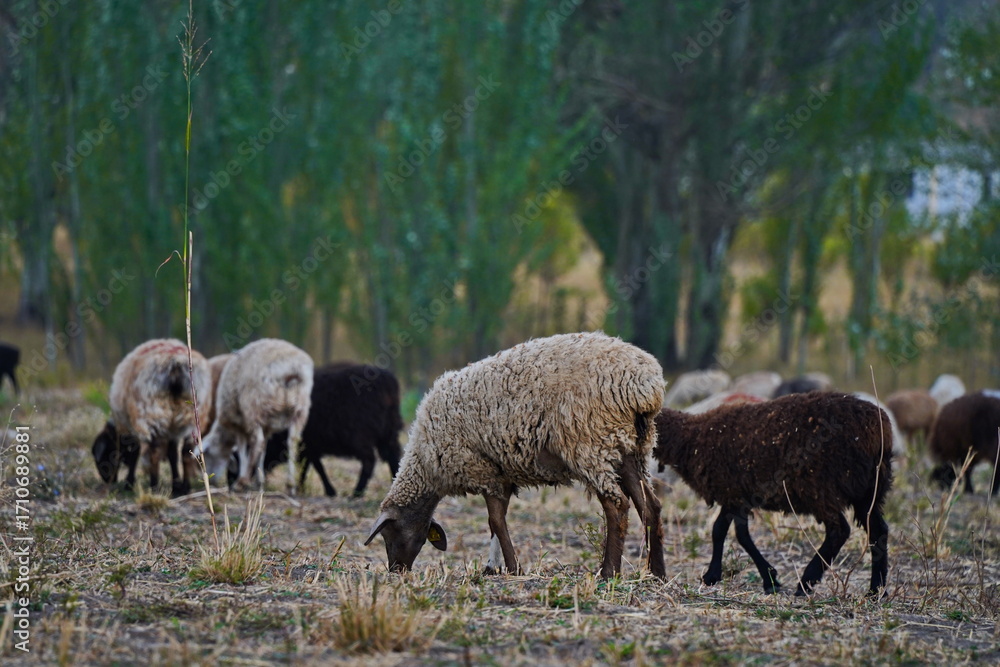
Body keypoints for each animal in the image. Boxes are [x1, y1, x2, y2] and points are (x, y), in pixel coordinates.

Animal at [108, 339, 213, 496]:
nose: (111, 479)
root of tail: (176, 363)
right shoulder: (172, 430)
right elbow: (172, 455)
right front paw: (176, 484)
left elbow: (134, 453)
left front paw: (129, 482)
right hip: (193, 415)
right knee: (186, 453)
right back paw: (185, 487)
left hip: (151, 411)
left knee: (154, 453)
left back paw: (154, 487)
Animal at [199, 338, 313, 492]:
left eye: (208, 455)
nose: (210, 481)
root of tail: (292, 369)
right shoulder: (266, 426)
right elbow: (263, 449)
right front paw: (260, 480)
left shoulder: (239, 423)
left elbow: (243, 451)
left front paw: (247, 476)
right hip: (299, 409)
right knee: (292, 441)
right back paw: (290, 484)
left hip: (253, 406)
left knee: (257, 442)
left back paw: (242, 481)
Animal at [365, 331, 666, 579]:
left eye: (389, 534)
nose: (396, 570)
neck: (427, 465)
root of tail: (644, 386)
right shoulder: (501, 473)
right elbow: (495, 524)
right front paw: (494, 566)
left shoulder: (482, 471)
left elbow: (496, 522)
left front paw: (513, 568)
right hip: (632, 448)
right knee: (650, 505)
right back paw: (657, 572)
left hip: (591, 444)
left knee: (617, 506)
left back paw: (609, 572)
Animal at [653, 392, 893, 596]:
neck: (690, 439)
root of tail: (878, 430)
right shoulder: (737, 496)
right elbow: (723, 531)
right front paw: (715, 575)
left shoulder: (733, 493)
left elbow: (734, 534)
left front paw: (768, 577)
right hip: (868, 490)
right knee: (878, 531)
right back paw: (876, 590)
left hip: (823, 486)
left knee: (839, 530)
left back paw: (807, 581)